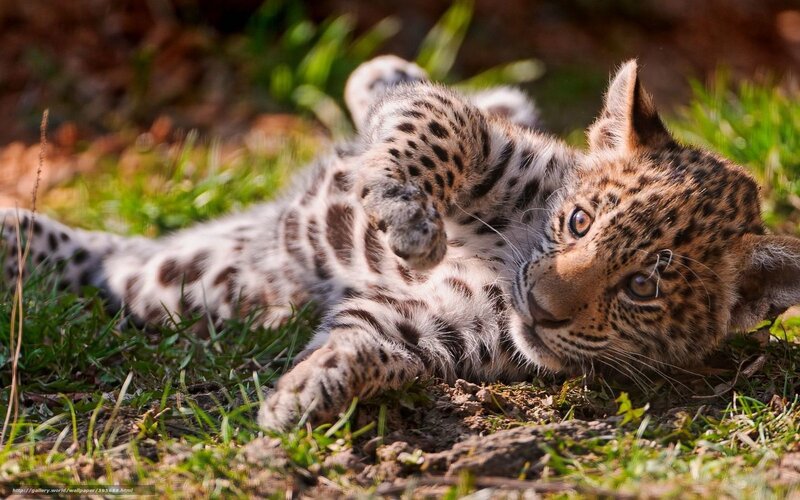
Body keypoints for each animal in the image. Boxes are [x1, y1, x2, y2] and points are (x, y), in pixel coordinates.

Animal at [3, 55, 800, 432]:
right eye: (579, 223)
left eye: (642, 287)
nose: (540, 306)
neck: (507, 265)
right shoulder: (491, 144)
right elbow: (440, 122)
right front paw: (410, 222)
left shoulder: (435, 329)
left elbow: (374, 346)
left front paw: (310, 391)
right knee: (408, 88)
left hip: (185, 278)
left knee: (110, 262)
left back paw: (14, 234)